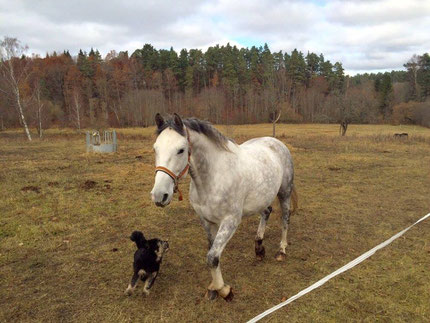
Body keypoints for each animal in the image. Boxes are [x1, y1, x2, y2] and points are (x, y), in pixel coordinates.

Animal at [149, 113, 298, 302]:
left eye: (181, 150)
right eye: (155, 149)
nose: (159, 195)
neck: (213, 178)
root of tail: (276, 143)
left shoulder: (230, 221)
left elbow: (212, 257)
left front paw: (225, 290)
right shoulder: (206, 221)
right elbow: (212, 252)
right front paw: (213, 287)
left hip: (284, 192)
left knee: (285, 218)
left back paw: (281, 251)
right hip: (262, 198)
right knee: (267, 212)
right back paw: (258, 248)